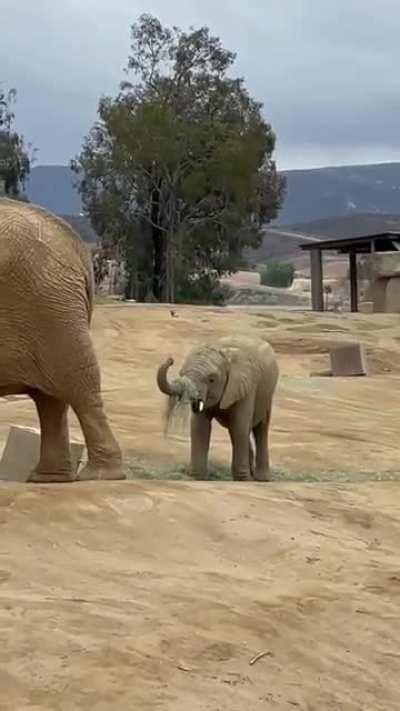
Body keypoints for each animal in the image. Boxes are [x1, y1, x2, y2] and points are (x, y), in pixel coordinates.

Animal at [0, 197, 124, 483]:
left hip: (50, 306)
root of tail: (76, 246)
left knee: (75, 384)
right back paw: (47, 479)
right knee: (50, 398)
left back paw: (100, 476)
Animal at [157, 335, 279, 481]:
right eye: (181, 373)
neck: (224, 355)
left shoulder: (246, 387)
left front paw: (243, 479)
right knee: (235, 429)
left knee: (260, 427)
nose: (170, 360)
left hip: (267, 394)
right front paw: (198, 477)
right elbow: (200, 427)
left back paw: (261, 479)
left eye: (212, 379)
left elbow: (240, 427)